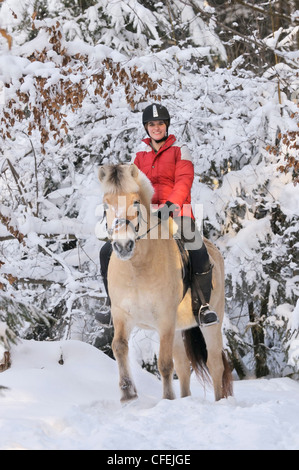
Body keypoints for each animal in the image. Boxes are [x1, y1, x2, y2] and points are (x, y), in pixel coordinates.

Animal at [99, 163, 233, 402]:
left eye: (135, 201)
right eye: (106, 205)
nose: (123, 246)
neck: (137, 269)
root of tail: (215, 251)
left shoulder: (165, 319)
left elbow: (164, 363)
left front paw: (167, 398)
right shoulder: (122, 315)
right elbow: (119, 347)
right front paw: (127, 393)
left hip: (210, 322)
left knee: (215, 364)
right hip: (178, 329)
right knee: (183, 366)